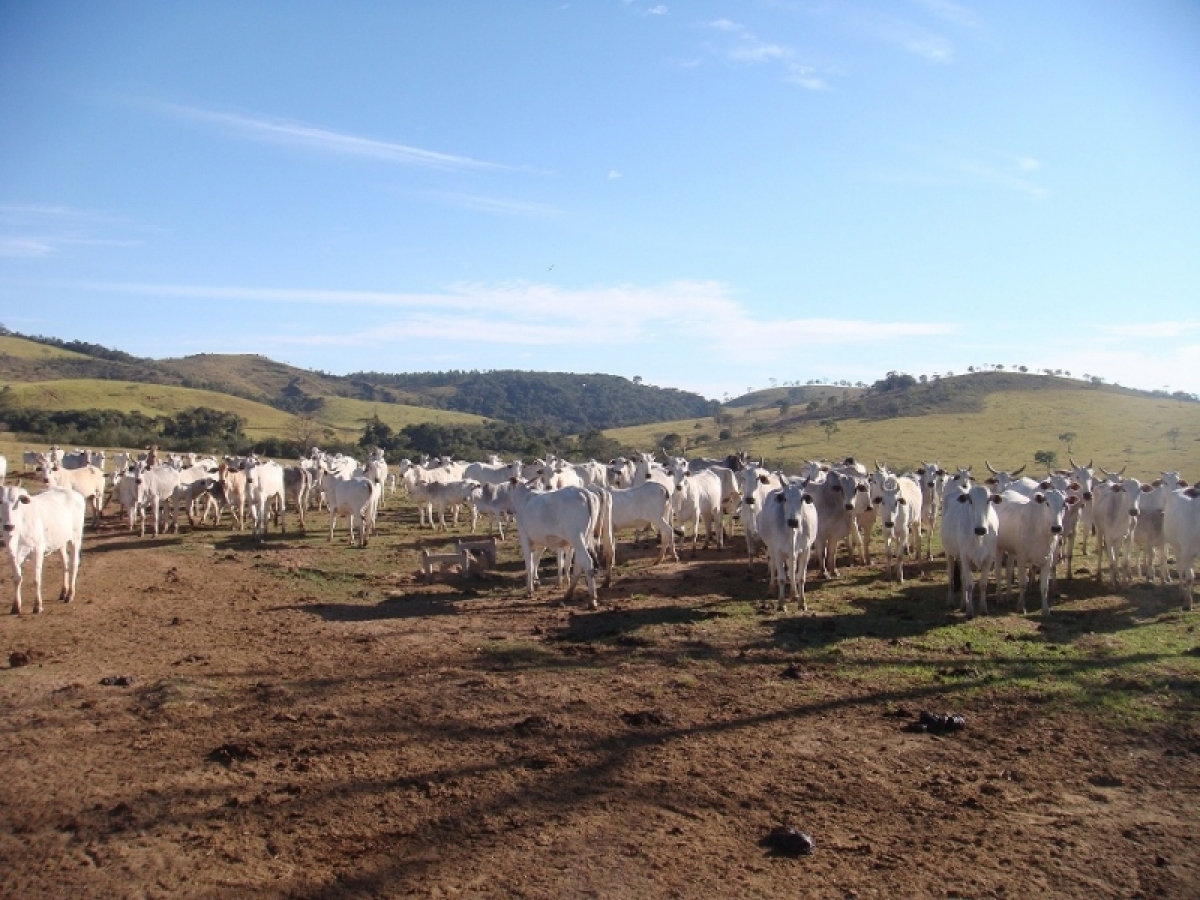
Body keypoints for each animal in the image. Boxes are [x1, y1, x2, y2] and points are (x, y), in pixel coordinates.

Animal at [1, 489, 84, 619]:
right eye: (0, 501)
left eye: (18, 501)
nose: (8, 526)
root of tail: (74, 493)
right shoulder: (12, 553)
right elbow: (17, 578)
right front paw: (15, 607)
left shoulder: (38, 551)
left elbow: (36, 579)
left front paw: (37, 606)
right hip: (60, 542)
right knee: (65, 563)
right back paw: (63, 592)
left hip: (76, 537)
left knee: (74, 564)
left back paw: (70, 595)